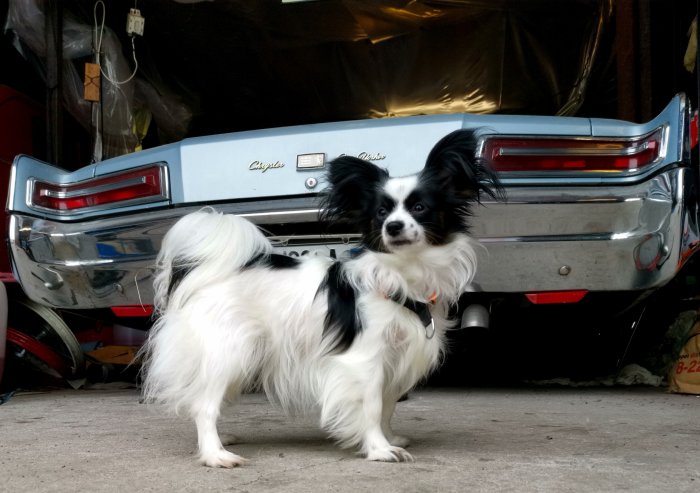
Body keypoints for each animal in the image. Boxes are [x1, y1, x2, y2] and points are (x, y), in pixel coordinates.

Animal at [141, 127, 504, 466]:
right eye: (381, 213)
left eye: (419, 208)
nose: (393, 227)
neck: (403, 274)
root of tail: (205, 273)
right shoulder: (365, 360)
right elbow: (372, 406)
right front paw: (379, 449)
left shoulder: (395, 359)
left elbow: (387, 407)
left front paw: (389, 438)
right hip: (229, 352)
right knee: (203, 405)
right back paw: (215, 454)